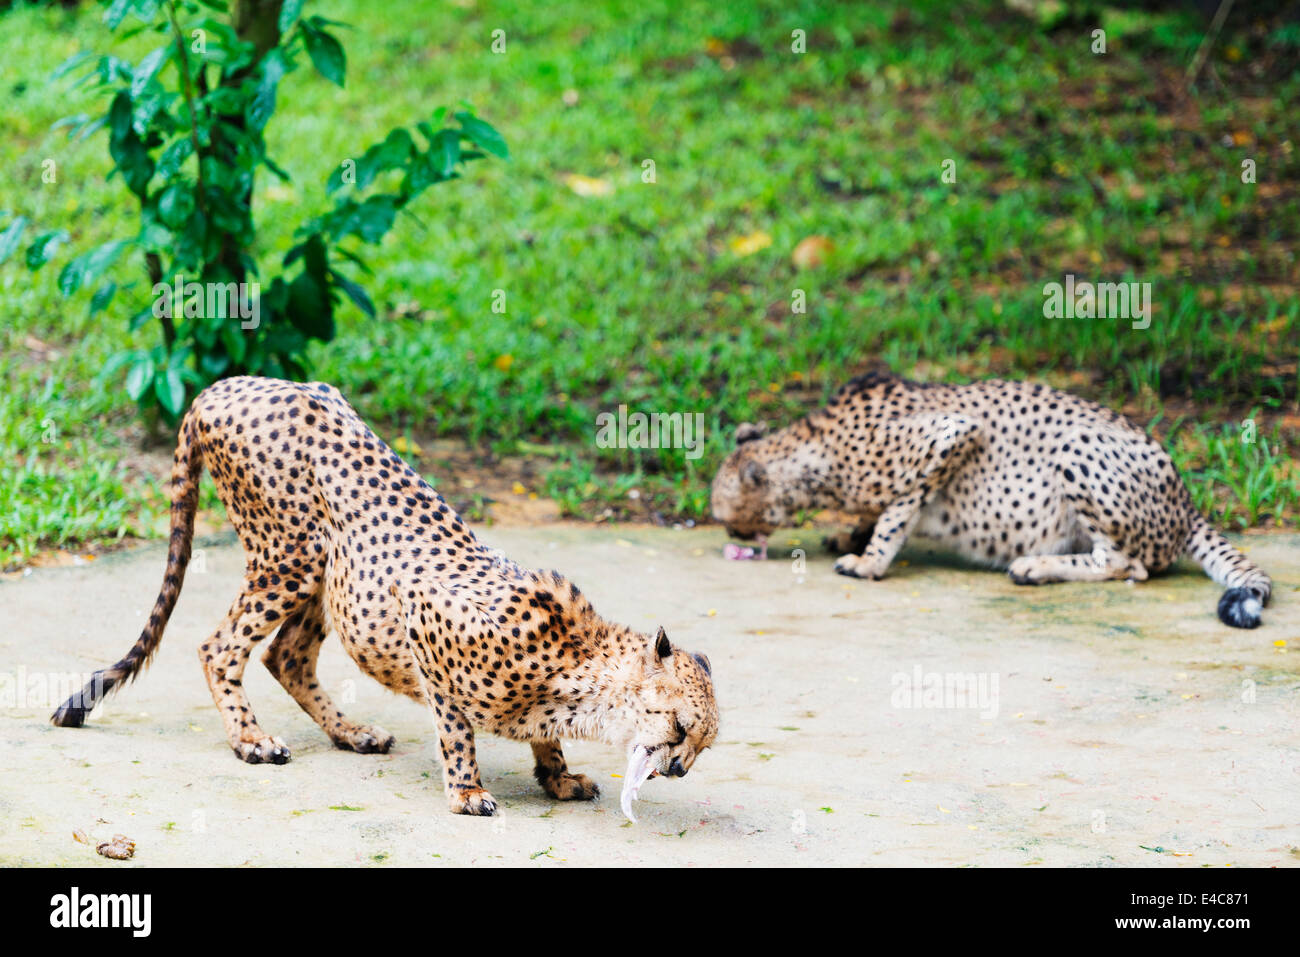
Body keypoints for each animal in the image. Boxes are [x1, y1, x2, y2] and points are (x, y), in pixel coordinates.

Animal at [53, 374, 722, 816]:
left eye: (704, 743)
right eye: (681, 726)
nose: (679, 769)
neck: (579, 674)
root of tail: (226, 384)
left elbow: (543, 739)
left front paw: (558, 779)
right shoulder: (425, 614)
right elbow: (455, 726)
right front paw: (468, 790)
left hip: (326, 576)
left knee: (285, 656)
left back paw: (351, 734)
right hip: (290, 556)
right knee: (220, 647)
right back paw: (251, 740)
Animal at [712, 371, 1268, 629]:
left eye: (722, 515)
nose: (732, 534)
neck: (813, 452)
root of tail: (1188, 501)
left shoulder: (952, 435)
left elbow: (898, 511)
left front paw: (869, 561)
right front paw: (850, 534)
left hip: (1077, 448)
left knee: (1128, 565)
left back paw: (1037, 566)